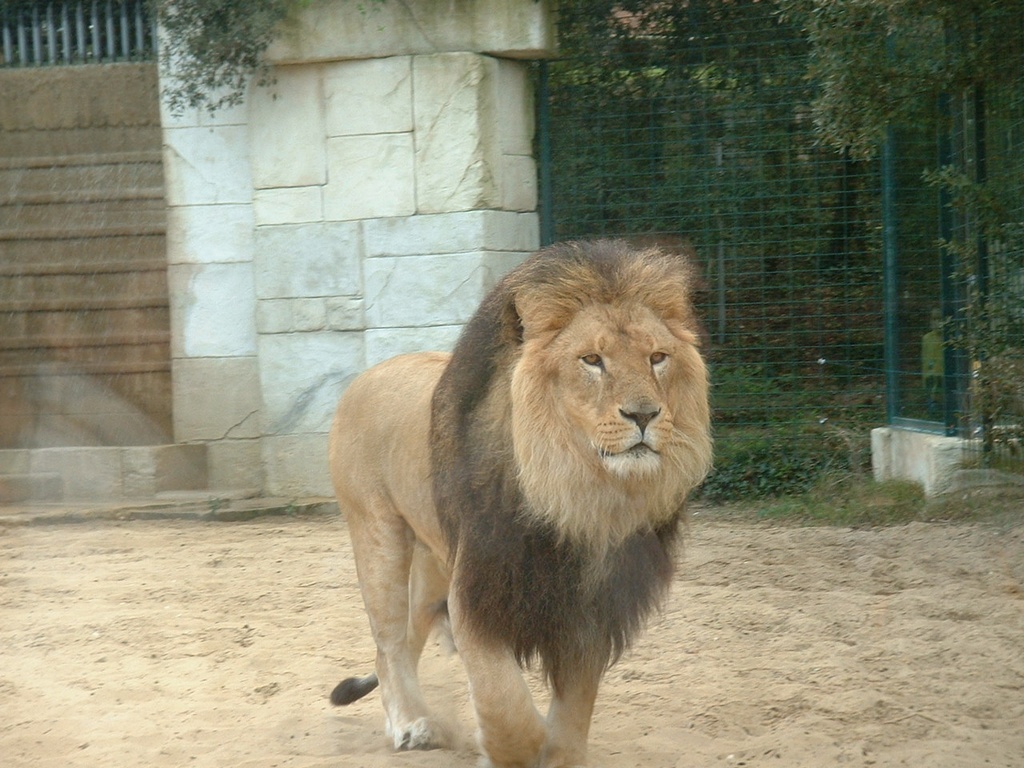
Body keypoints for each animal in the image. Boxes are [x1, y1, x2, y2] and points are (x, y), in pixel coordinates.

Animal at [327, 240, 712, 768]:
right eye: (592, 359)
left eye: (658, 357)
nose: (644, 414)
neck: (580, 494)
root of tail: (367, 374)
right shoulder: (479, 591)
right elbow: (505, 704)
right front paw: (505, 749)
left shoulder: (590, 604)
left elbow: (575, 710)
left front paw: (559, 751)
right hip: (378, 536)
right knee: (388, 645)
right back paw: (410, 724)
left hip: (433, 564)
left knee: (405, 639)